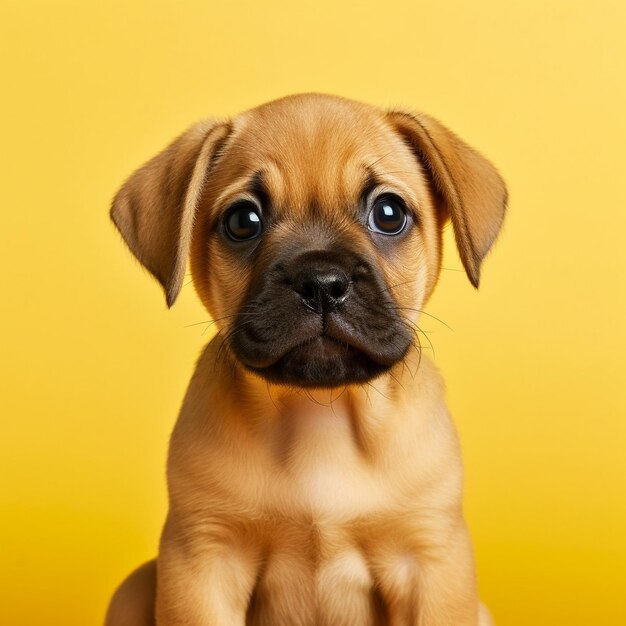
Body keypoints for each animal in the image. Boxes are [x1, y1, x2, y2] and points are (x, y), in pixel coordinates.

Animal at [106, 94, 508, 624]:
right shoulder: (204, 559)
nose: (321, 282)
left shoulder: (432, 561)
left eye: (388, 213)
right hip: (134, 588)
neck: (324, 415)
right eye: (243, 221)